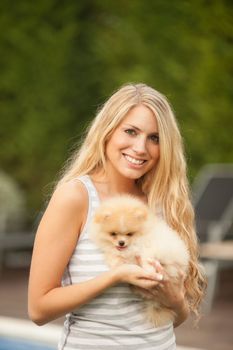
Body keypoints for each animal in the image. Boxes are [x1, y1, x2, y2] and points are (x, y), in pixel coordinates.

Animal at [89, 196, 189, 326]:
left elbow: (146, 258)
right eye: (113, 234)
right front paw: (118, 262)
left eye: (129, 234)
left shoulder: (149, 248)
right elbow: (116, 257)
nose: (121, 242)